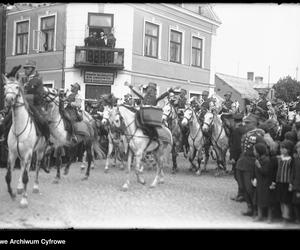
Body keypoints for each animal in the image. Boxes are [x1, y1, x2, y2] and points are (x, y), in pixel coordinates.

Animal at [2, 75, 47, 208]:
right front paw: (12, 193)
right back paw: (19, 187)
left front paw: (24, 200)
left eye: (17, 87)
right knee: (23, 167)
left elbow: (26, 177)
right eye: (4, 87)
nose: (9, 100)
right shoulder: (12, 153)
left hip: (39, 152)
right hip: (21, 154)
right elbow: (8, 176)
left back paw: (35, 187)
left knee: (36, 167)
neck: (19, 127)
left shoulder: (28, 153)